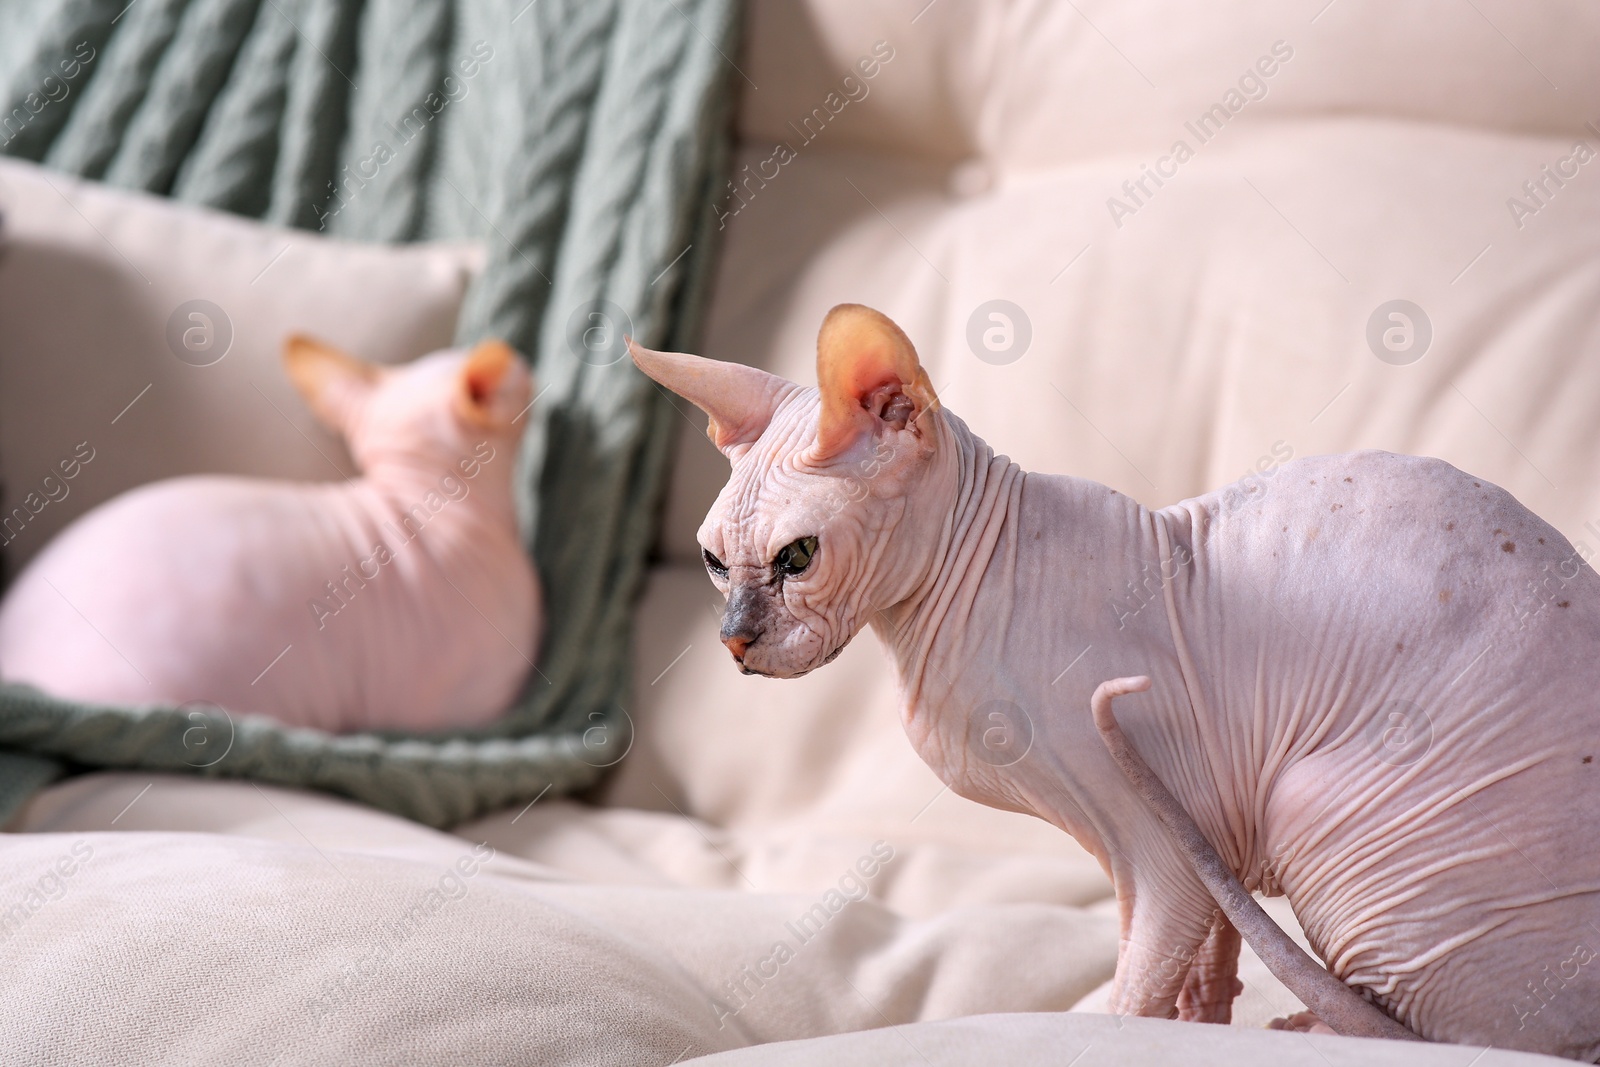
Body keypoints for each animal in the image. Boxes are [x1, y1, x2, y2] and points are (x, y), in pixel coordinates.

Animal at [630, 302, 1600, 1062]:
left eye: (798, 557)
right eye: (712, 560)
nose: (733, 640)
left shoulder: (1167, 845)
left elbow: (1138, 983)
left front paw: (1126, 1029)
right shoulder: (1214, 831)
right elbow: (1204, 962)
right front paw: (1203, 1027)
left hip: (1319, 808)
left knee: (1447, 1031)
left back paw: (1318, 1030)